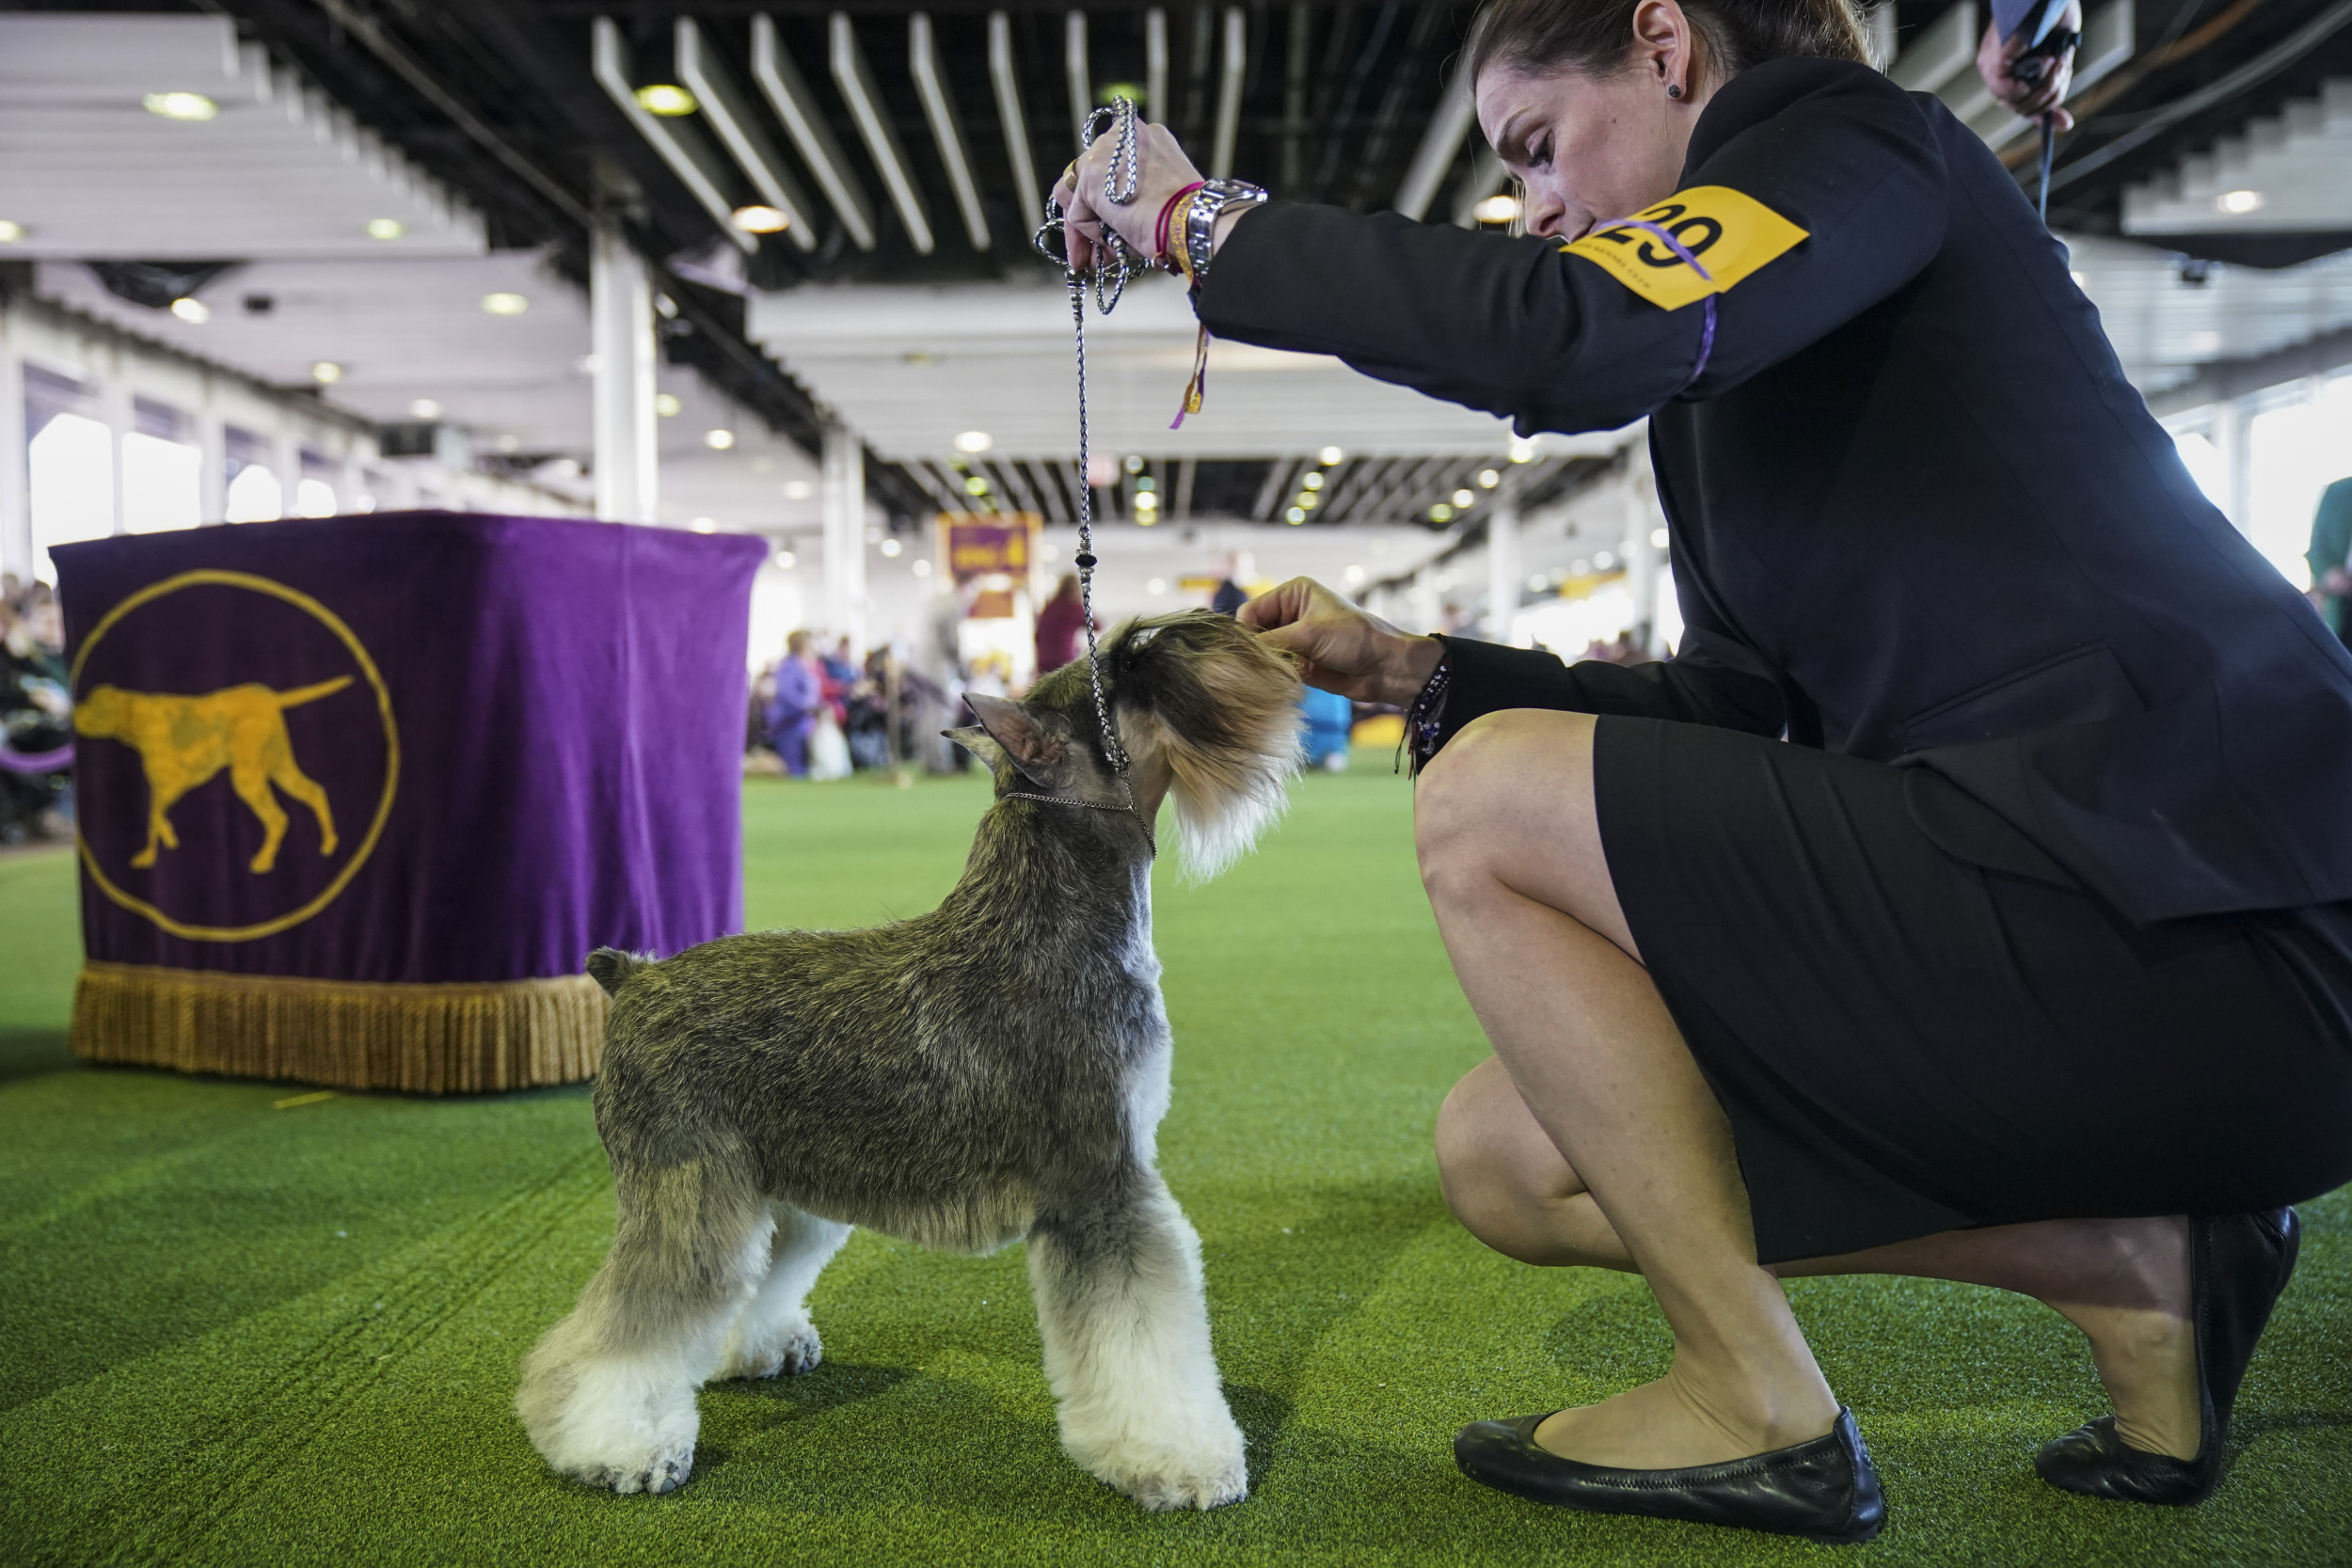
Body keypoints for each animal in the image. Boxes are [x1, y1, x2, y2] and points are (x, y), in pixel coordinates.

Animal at [513, 610, 1308, 1504]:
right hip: (687, 1194)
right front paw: (1182, 1460)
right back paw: (617, 1444)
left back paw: (759, 1348)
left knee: (754, 1274)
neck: (1048, 916)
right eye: (1131, 664)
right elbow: (1143, 1335)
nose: (1240, 628)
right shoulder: (1100, 1186)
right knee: (623, 1325)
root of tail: (634, 977)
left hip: (785, 1188)